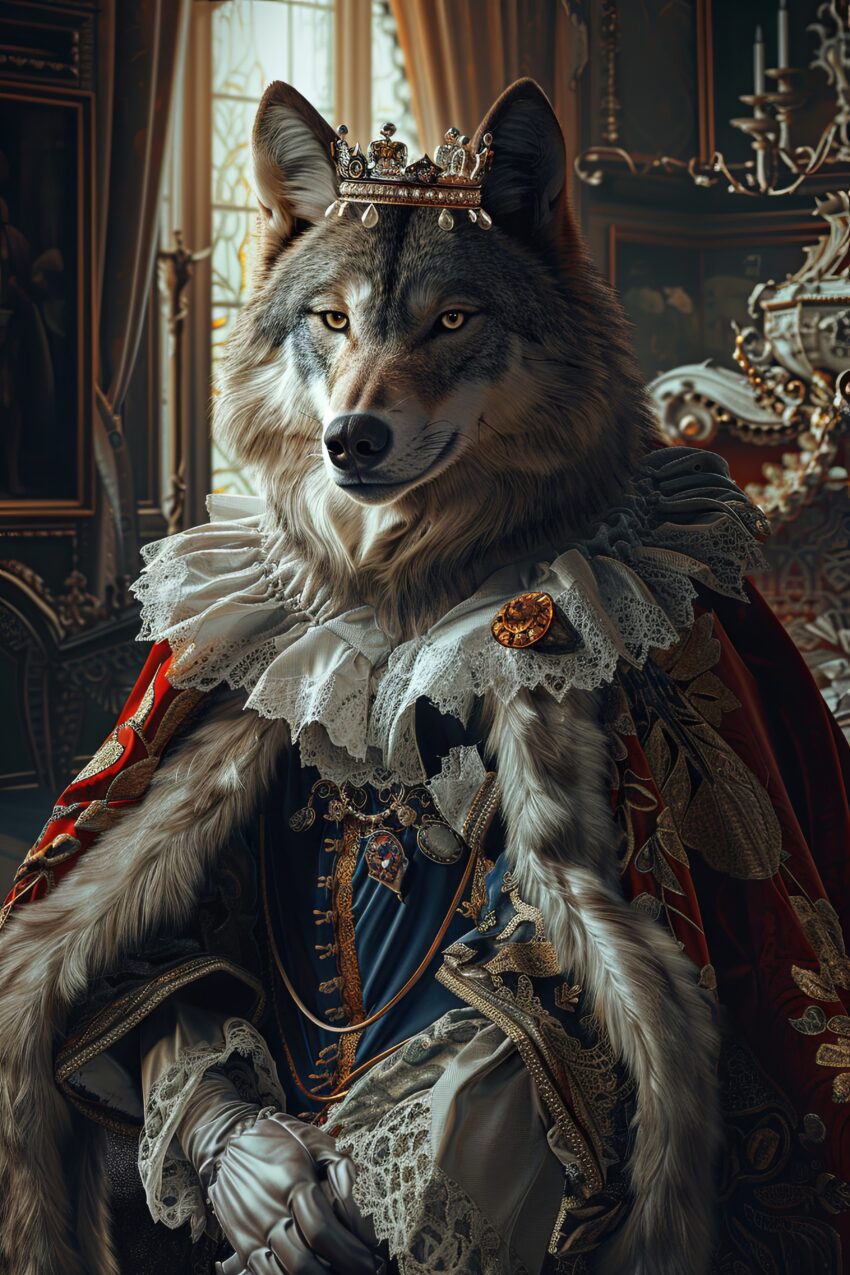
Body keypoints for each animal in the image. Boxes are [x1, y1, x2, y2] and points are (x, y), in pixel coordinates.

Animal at [1, 77, 849, 1275]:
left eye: (453, 320)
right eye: (332, 320)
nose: (353, 438)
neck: (394, 601)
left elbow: (499, 1054)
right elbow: (163, 980)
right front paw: (251, 1169)